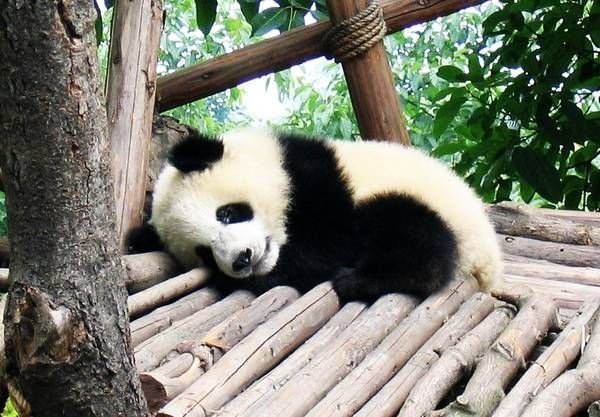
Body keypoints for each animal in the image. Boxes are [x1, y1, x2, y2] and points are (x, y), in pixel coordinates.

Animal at [145, 128, 501, 301]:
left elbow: (330, 248)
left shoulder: (318, 179)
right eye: (204, 253)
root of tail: (487, 266)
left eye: (229, 214)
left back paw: (359, 280)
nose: (241, 260)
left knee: (416, 239)